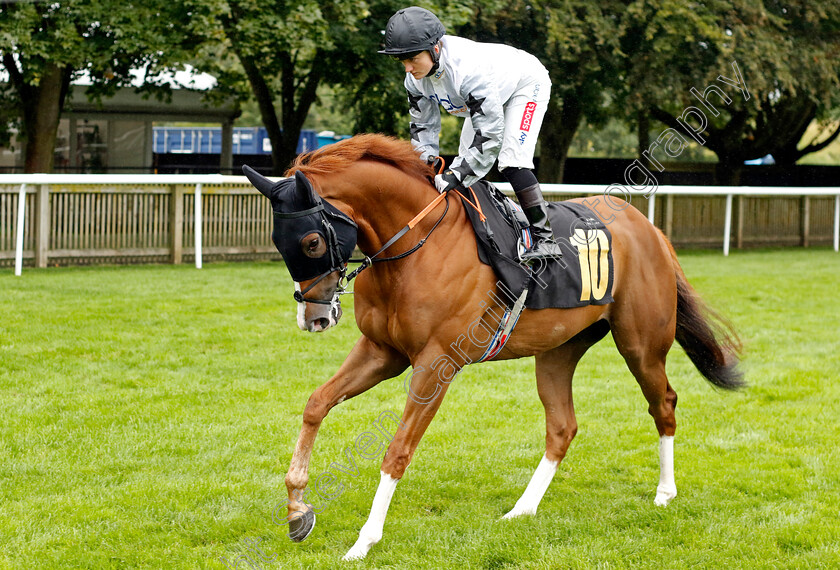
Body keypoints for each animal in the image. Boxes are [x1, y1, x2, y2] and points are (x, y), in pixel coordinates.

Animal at [241, 134, 740, 560]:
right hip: (557, 351)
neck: (416, 247)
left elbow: (397, 451)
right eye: (277, 241)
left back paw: (664, 493)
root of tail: (648, 229)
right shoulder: (383, 351)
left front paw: (364, 541)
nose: (313, 318)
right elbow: (316, 403)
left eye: (310, 241)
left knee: (664, 404)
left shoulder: (436, 362)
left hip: (641, 345)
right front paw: (297, 509)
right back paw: (523, 508)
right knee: (563, 427)